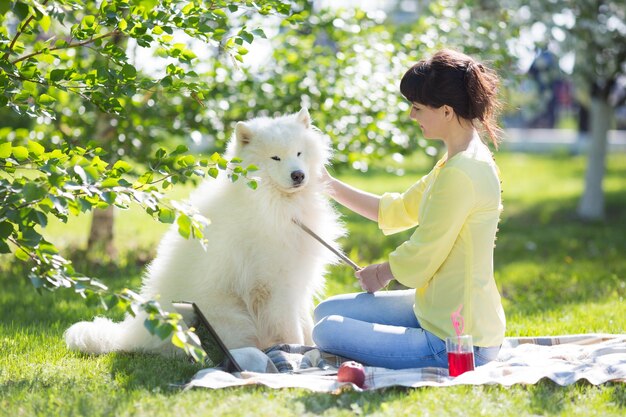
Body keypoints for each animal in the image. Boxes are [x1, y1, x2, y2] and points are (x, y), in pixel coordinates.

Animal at [66, 107, 344, 354]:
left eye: (299, 153)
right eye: (275, 158)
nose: (298, 175)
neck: (271, 200)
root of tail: (137, 334)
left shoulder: (298, 279)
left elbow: (305, 320)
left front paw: (311, 345)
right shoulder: (275, 284)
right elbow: (290, 327)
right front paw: (299, 351)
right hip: (231, 316)